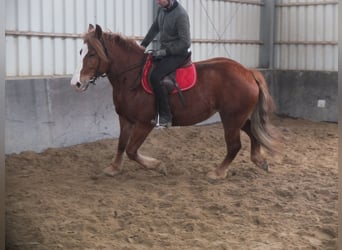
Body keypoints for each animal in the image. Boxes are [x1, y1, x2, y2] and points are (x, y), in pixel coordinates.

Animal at [70, 23, 278, 180]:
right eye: (80, 51)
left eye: (92, 54)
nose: (76, 83)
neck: (131, 77)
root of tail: (248, 72)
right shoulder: (125, 119)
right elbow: (121, 144)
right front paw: (114, 168)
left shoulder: (145, 123)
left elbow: (131, 150)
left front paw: (157, 165)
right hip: (237, 118)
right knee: (252, 132)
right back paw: (259, 160)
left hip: (231, 118)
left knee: (234, 145)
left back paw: (218, 172)